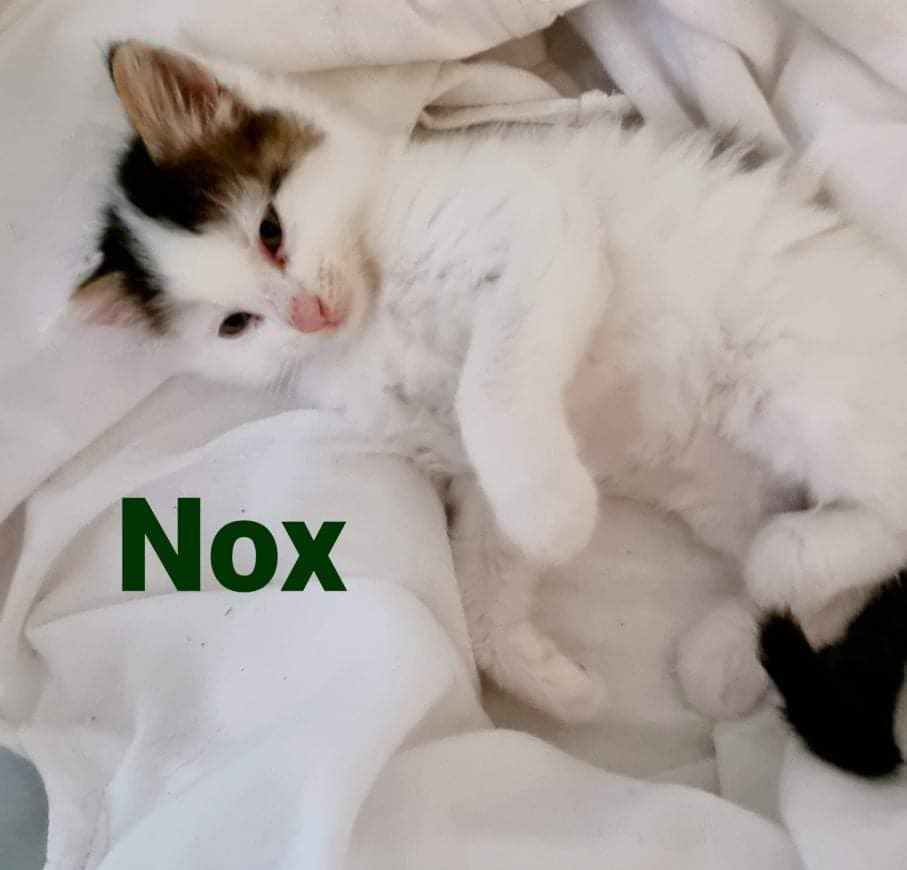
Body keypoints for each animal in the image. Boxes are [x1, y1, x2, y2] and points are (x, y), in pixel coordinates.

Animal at [74, 39, 907, 726]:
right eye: (235, 325)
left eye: (270, 232)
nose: (309, 314)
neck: (373, 312)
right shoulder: (464, 468)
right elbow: (480, 590)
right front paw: (552, 683)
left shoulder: (538, 231)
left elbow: (492, 384)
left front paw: (553, 514)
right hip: (723, 490)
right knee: (841, 574)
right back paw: (733, 648)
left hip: (796, 381)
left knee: (889, 511)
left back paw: (780, 561)